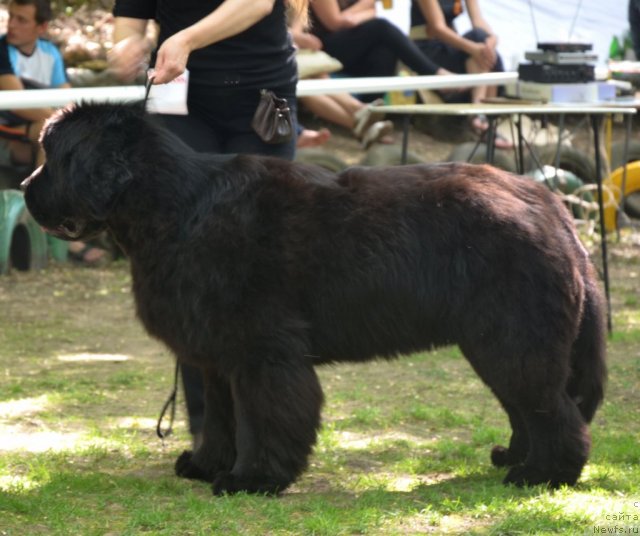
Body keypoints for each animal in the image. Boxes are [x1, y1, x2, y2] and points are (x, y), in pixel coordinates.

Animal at [22, 102, 608, 496]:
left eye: (55, 155)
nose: (25, 190)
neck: (175, 209)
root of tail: (549, 203)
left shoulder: (263, 353)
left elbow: (264, 418)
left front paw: (254, 479)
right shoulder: (217, 357)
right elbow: (219, 419)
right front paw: (209, 465)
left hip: (512, 342)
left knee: (554, 412)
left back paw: (543, 475)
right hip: (498, 345)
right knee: (527, 408)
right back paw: (514, 458)